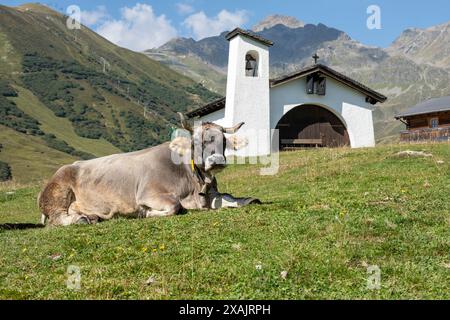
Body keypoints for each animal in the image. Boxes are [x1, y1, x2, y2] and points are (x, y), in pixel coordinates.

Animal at [38, 114, 260, 226]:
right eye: (196, 142)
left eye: (224, 141)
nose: (217, 161)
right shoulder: (149, 194)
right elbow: (174, 206)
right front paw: (145, 213)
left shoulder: (210, 194)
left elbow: (232, 198)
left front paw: (250, 199)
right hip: (57, 191)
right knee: (57, 218)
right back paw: (81, 219)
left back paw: (92, 216)